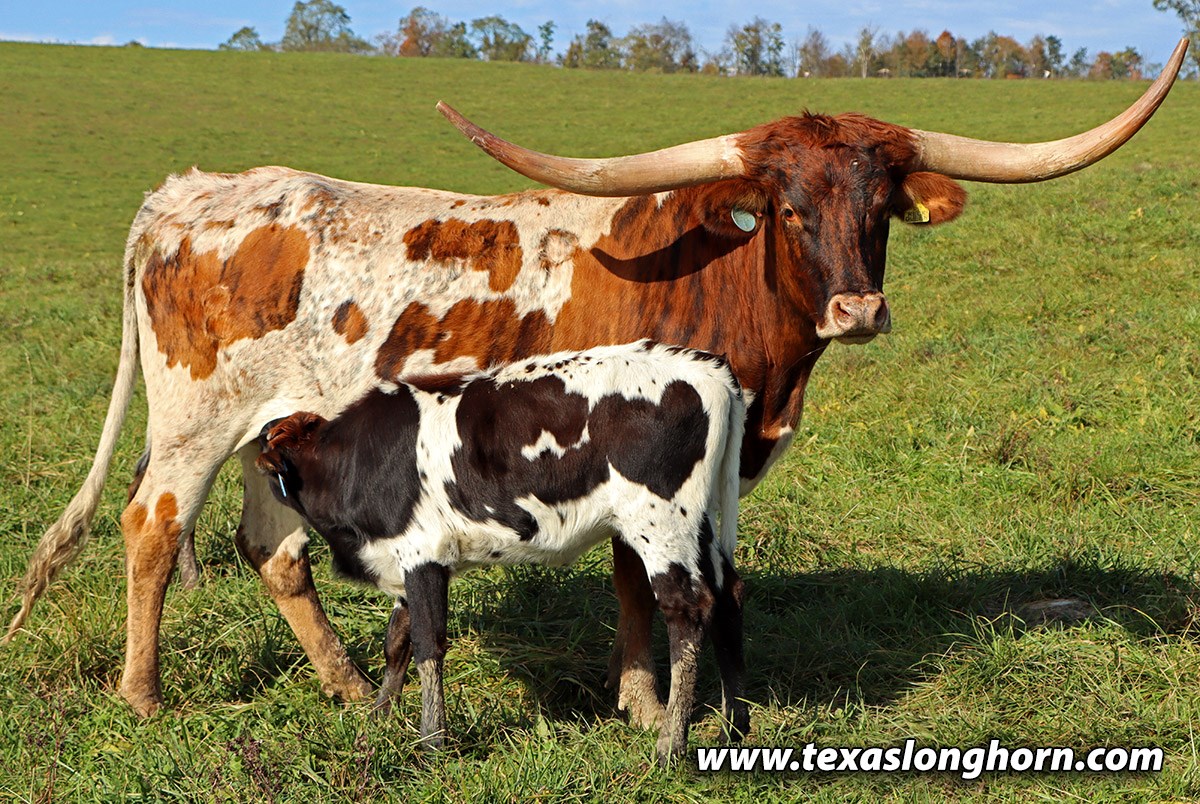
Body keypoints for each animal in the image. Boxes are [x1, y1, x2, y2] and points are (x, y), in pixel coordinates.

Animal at [254, 340, 748, 763]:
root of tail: (706, 367)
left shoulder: (423, 552)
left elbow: (427, 645)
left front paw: (431, 742)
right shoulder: (403, 560)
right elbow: (396, 642)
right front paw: (379, 718)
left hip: (660, 523)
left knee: (688, 612)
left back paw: (671, 746)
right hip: (699, 524)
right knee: (728, 597)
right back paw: (734, 729)